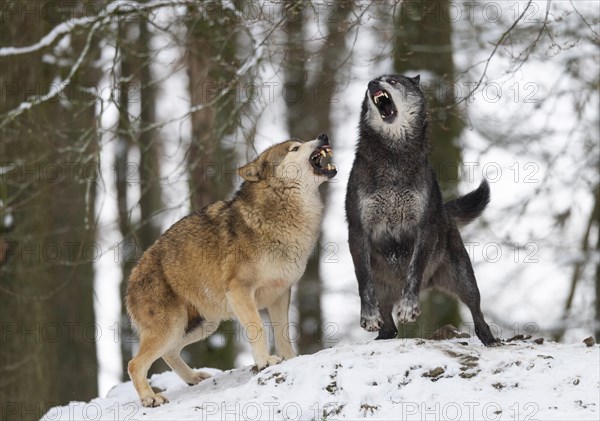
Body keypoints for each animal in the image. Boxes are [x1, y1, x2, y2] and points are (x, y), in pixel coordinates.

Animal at [125, 134, 338, 404]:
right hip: (173, 327)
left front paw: (290, 360)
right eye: (295, 148)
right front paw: (265, 362)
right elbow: (258, 328)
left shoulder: (280, 294)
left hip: (202, 326)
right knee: (135, 364)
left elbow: (283, 335)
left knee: (168, 354)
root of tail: (132, 277)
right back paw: (150, 399)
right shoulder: (240, 291)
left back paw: (194, 378)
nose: (323, 136)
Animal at [344, 74, 500, 344]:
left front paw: (409, 308)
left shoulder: (424, 228)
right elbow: (363, 280)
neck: (394, 156)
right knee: (390, 328)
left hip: (463, 279)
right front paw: (369, 316)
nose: (373, 84)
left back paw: (489, 339)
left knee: (476, 309)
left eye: (392, 81)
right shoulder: (357, 230)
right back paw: (382, 336)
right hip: (385, 290)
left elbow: (414, 270)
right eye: (372, 82)